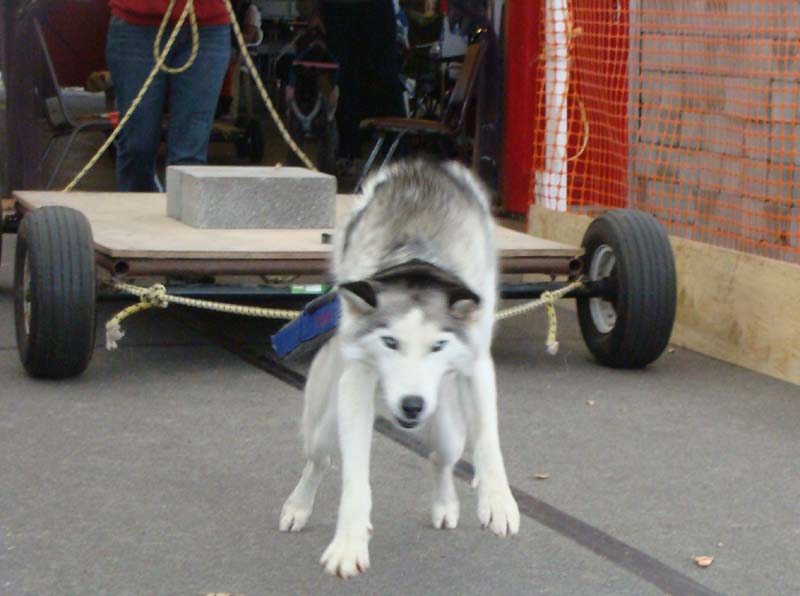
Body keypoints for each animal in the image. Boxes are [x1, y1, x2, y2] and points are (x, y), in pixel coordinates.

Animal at [280, 158, 520, 576]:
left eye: (438, 345)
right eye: (390, 343)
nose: (412, 405)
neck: (417, 264)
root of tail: (424, 164)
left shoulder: (476, 364)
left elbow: (489, 441)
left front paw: (498, 501)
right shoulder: (357, 379)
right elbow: (355, 477)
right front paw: (349, 541)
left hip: (448, 430)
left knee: (440, 459)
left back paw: (445, 504)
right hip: (324, 425)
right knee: (320, 460)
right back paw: (298, 506)